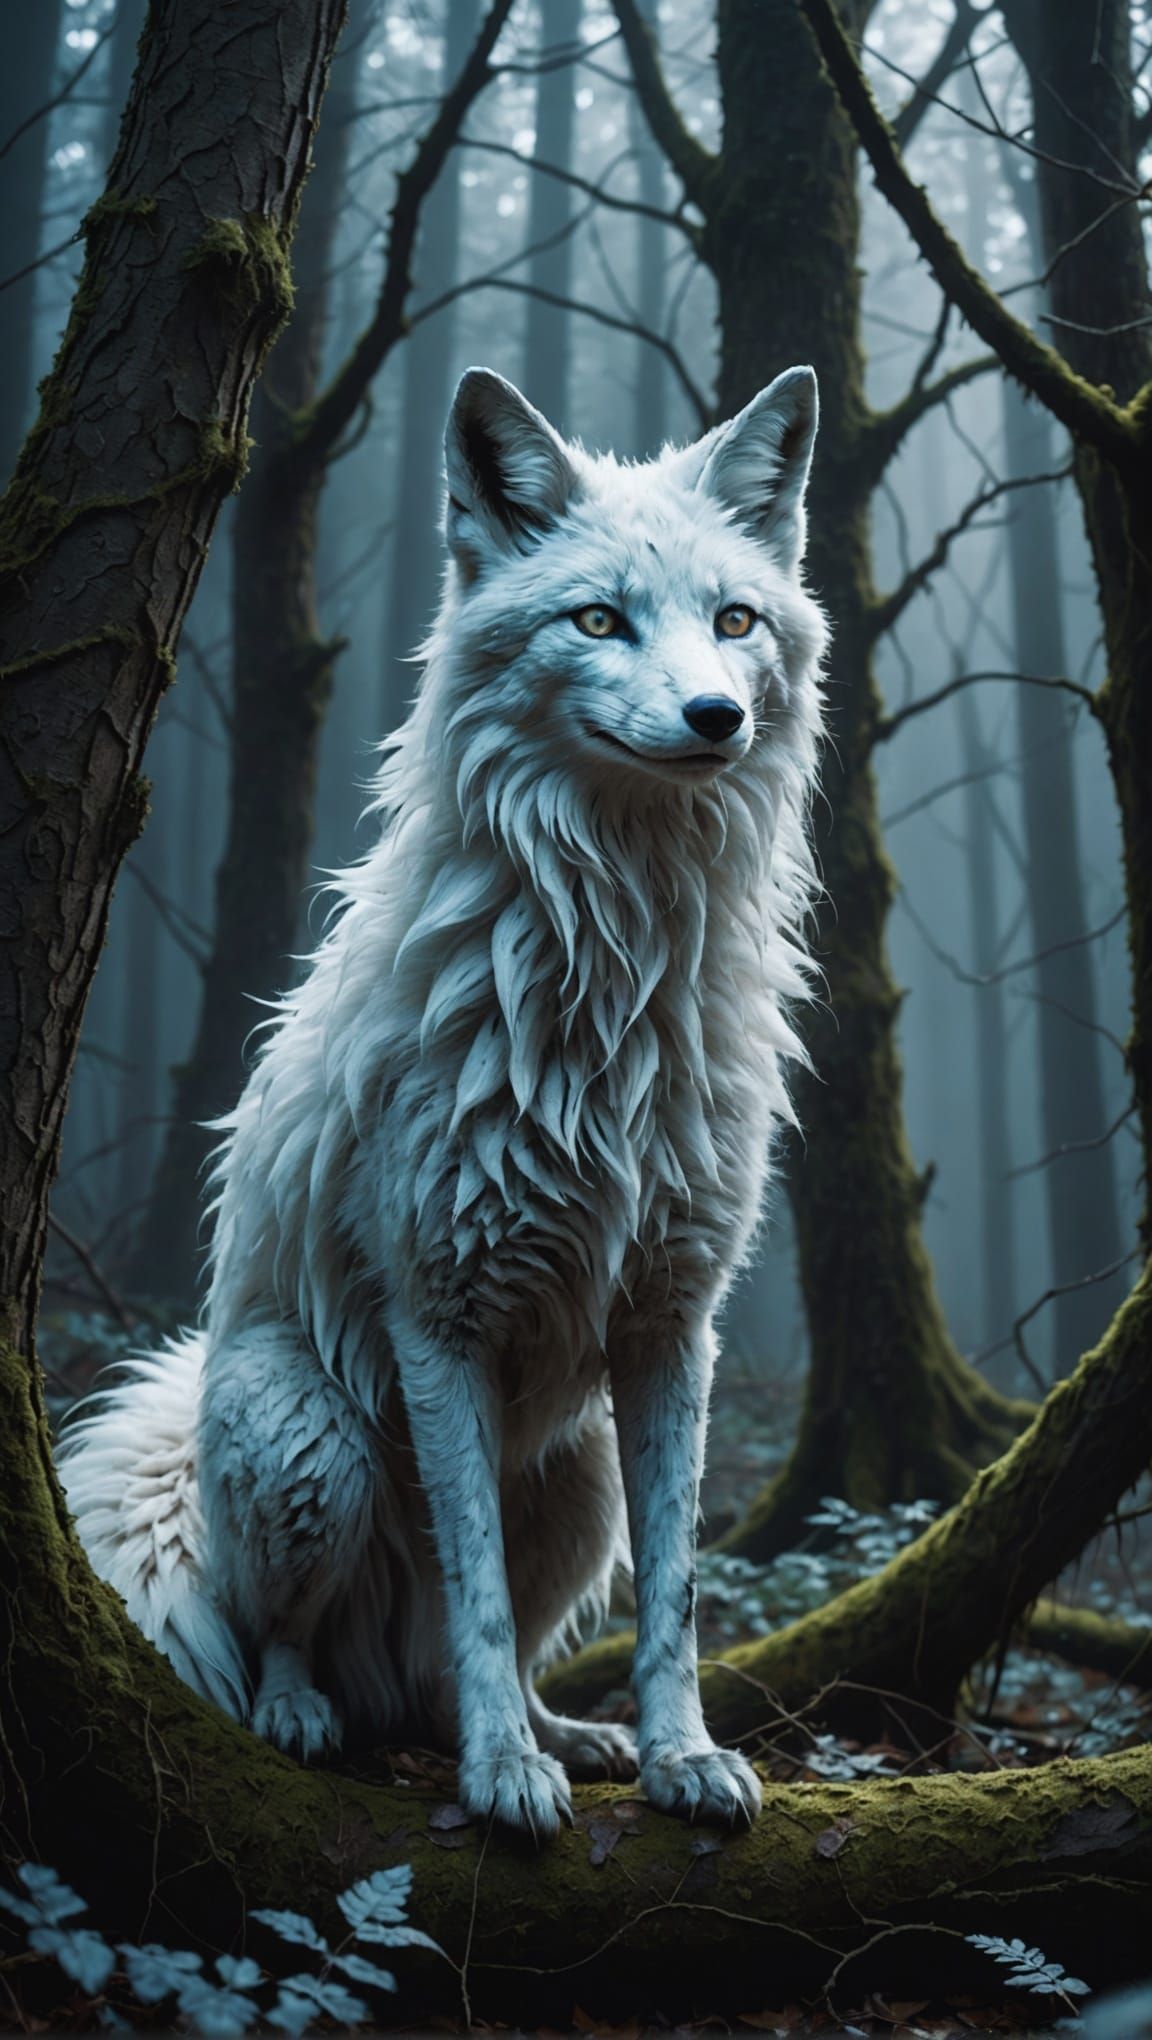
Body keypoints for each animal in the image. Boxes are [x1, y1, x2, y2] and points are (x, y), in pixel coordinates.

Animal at [60, 364, 826, 1838]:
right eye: (599, 618)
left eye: (735, 620)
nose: (717, 718)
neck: (611, 970)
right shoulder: (441, 1317)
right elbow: (469, 1589)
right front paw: (500, 1781)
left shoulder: (671, 1328)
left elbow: (673, 1597)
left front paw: (680, 1756)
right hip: (314, 1444)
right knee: (301, 1637)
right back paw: (314, 1713)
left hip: (579, 1474)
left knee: (473, 1658)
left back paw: (561, 1729)